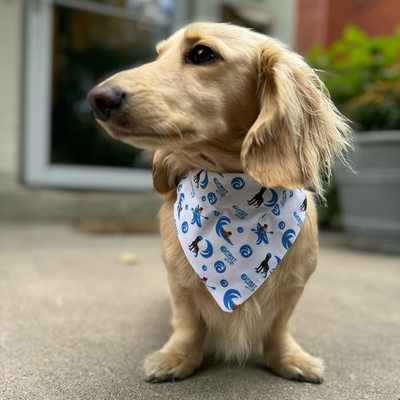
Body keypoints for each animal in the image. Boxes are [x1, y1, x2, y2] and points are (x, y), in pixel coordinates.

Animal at [86, 21, 350, 384]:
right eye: (158, 55)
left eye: (201, 53)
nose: (97, 99)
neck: (233, 191)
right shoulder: (179, 285)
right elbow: (188, 325)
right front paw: (177, 358)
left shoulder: (294, 287)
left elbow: (278, 328)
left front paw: (288, 358)